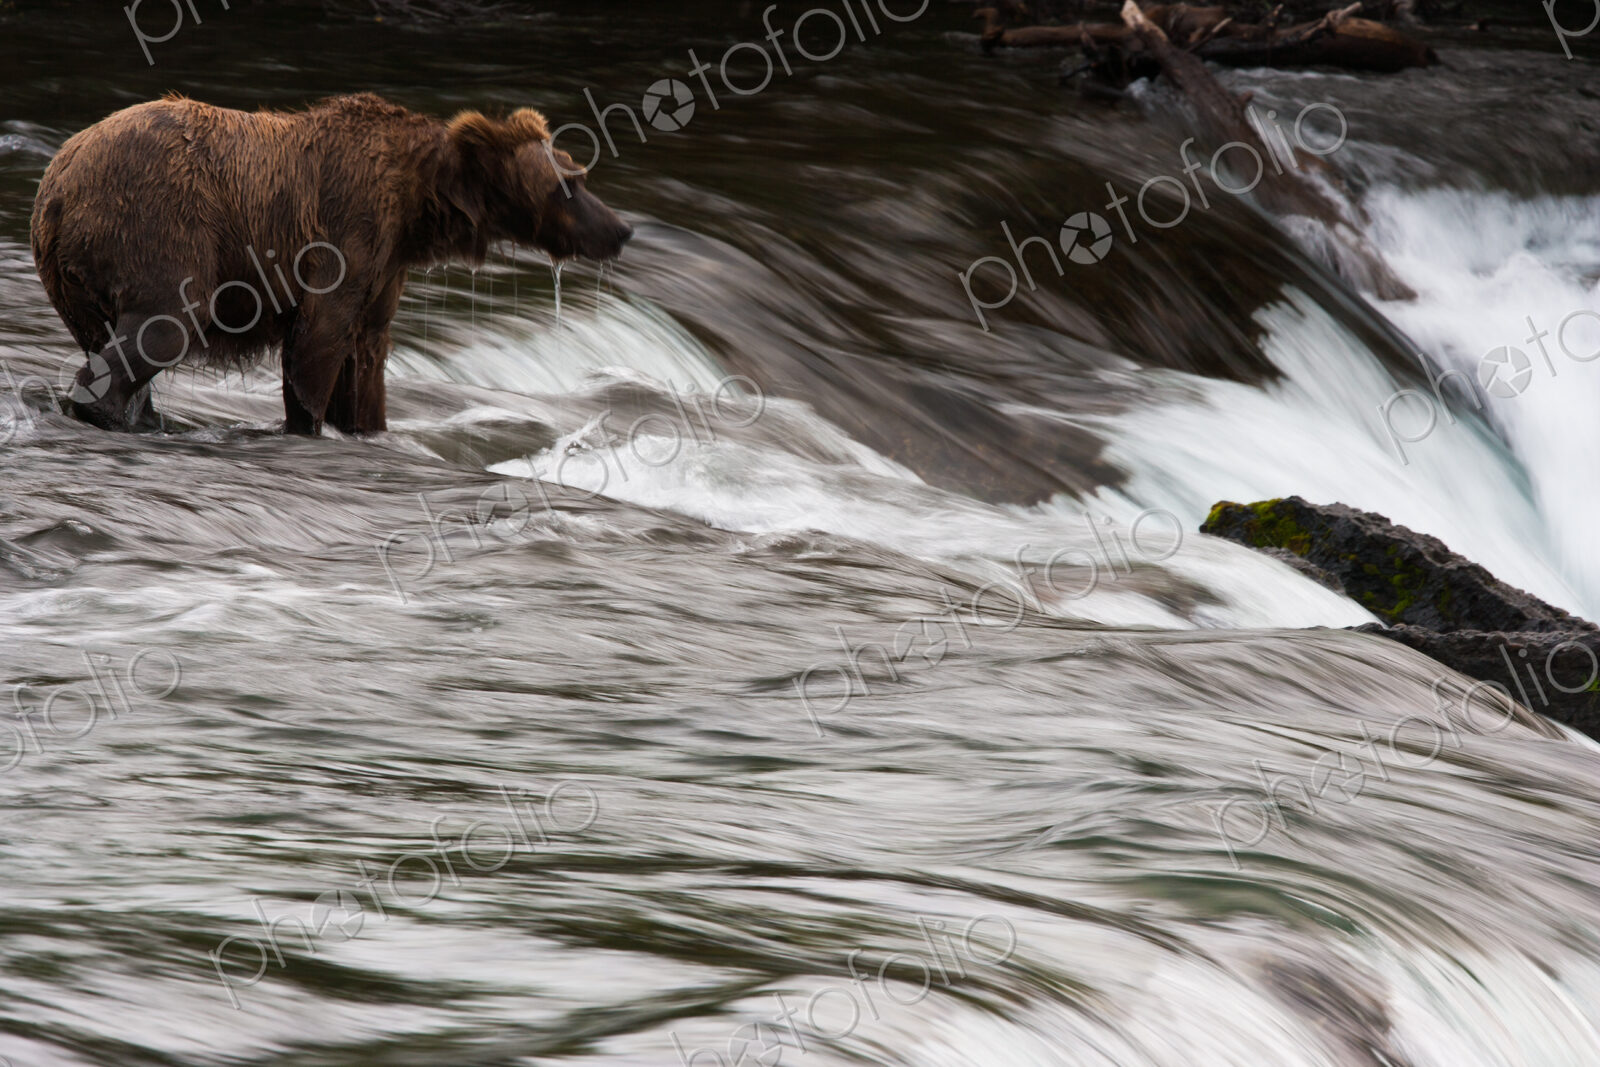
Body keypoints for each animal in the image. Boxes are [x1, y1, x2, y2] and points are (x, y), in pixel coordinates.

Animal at [29, 92, 632, 435]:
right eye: (569, 184)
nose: (622, 229)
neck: (419, 208)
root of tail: (57, 183)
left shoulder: (386, 264)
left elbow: (367, 357)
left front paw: (367, 425)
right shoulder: (345, 235)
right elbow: (318, 340)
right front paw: (308, 423)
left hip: (71, 278)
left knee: (108, 340)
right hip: (157, 226)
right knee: (165, 326)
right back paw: (109, 412)